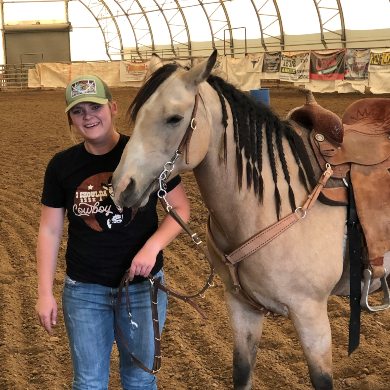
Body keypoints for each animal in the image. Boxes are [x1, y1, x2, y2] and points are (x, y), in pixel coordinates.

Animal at [110, 50, 390, 388]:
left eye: (174, 118)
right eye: (138, 114)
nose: (122, 188)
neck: (271, 204)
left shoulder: (311, 315)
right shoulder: (242, 308)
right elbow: (242, 373)